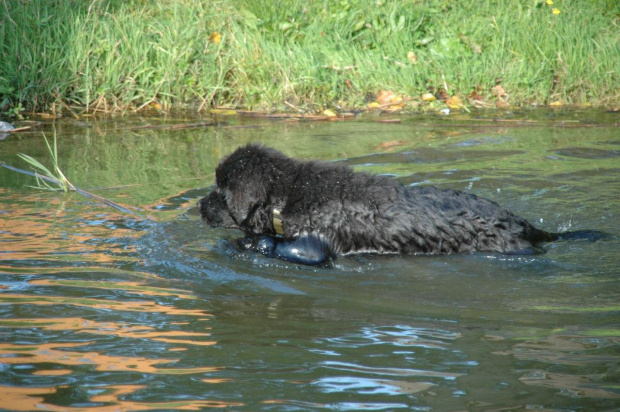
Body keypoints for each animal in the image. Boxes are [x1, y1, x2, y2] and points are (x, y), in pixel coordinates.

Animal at [200, 144, 588, 264]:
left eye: (221, 191)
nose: (199, 206)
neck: (290, 195)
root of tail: (523, 223)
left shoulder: (314, 246)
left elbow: (280, 245)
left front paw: (246, 243)